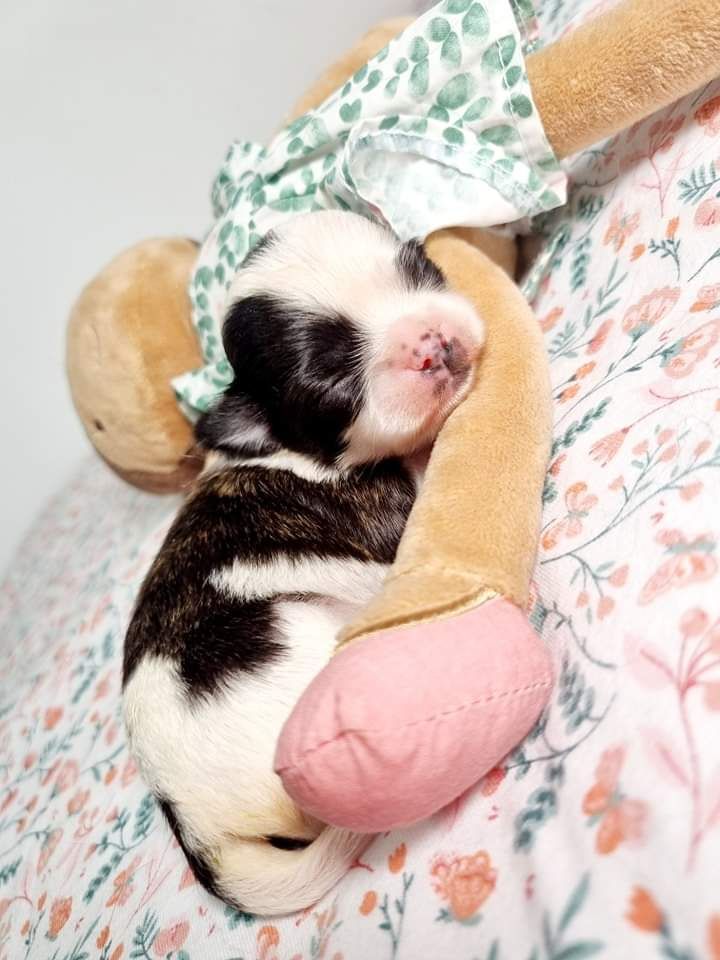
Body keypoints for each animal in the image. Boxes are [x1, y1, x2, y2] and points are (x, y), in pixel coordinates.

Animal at [122, 210, 485, 916]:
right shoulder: (389, 516)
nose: (428, 342)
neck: (278, 446)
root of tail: (195, 827)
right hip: (303, 643)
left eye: (421, 271)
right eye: (333, 385)